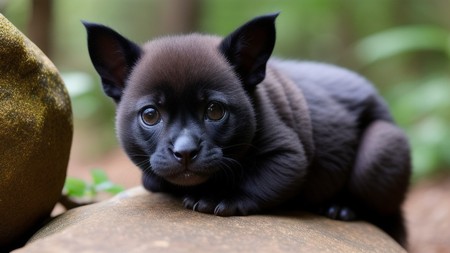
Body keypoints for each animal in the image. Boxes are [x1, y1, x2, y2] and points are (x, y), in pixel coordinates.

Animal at [83, 13, 412, 245]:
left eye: (214, 111)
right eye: (150, 115)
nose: (185, 152)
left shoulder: (288, 157)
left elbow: (259, 181)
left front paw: (221, 198)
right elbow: (155, 180)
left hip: (380, 146)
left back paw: (341, 207)